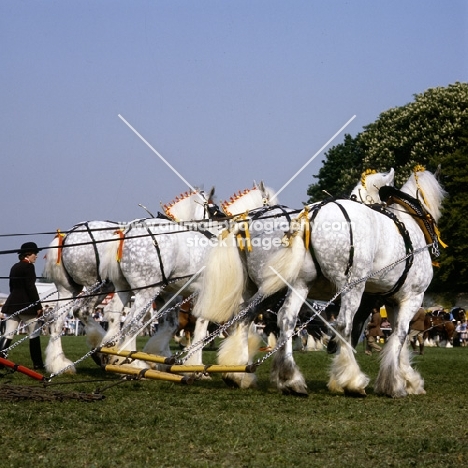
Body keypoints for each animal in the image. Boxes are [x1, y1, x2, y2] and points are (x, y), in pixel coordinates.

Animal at [42, 188, 216, 374]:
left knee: (58, 321)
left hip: (68, 290)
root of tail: (67, 236)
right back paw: (112, 350)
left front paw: (159, 356)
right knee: (87, 312)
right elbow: (171, 324)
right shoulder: (169, 294)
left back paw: (61, 363)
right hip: (99, 286)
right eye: (213, 209)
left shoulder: (163, 294)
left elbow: (168, 324)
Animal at [260, 166, 446, 396]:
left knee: (286, 319)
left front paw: (408, 379)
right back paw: (352, 380)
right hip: (353, 287)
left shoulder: (393, 300)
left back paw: (290, 379)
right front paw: (394, 384)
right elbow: (401, 335)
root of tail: (312, 214)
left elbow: (397, 337)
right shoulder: (413, 297)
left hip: (301, 284)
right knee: (343, 325)